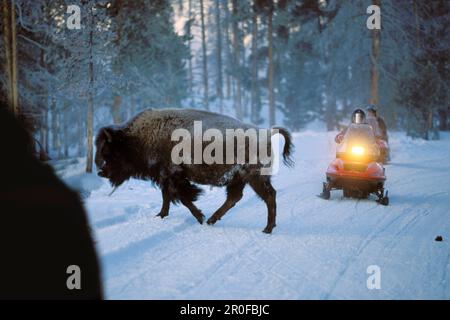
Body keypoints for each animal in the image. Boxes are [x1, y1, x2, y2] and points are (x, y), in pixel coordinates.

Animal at [94, 109, 296, 234]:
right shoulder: (165, 178)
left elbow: (182, 198)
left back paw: (267, 229)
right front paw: (161, 215)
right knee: (235, 198)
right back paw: (212, 220)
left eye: (110, 152)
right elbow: (167, 196)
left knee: (268, 196)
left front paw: (199, 216)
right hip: (239, 178)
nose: (101, 172)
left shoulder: (173, 176)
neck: (140, 138)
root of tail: (267, 133)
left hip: (254, 177)